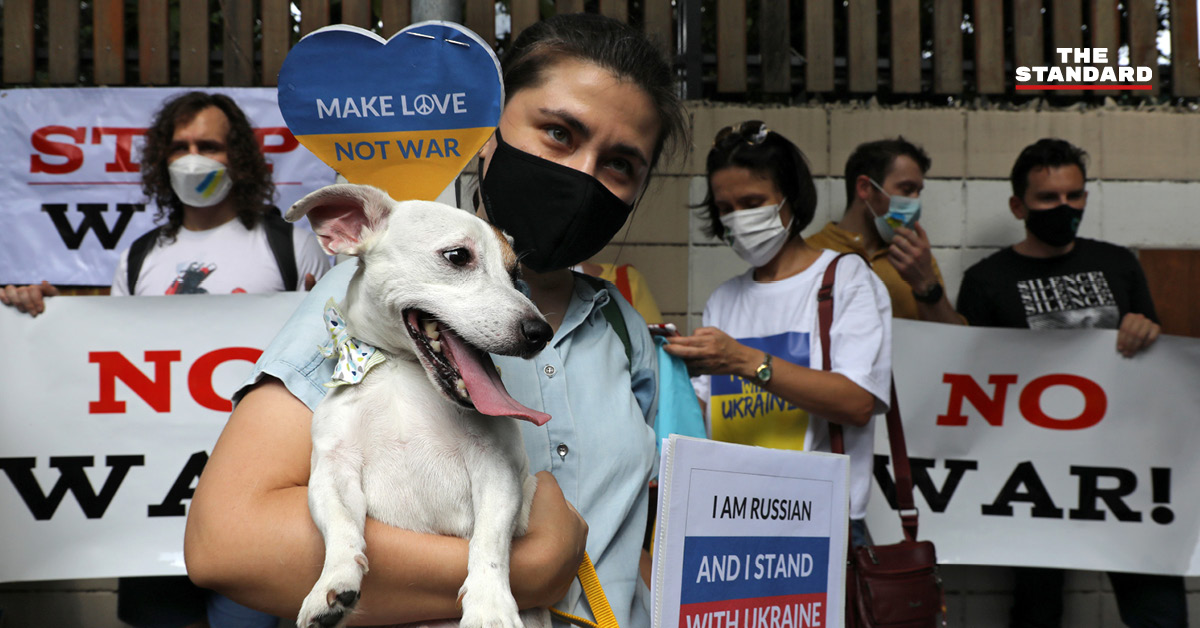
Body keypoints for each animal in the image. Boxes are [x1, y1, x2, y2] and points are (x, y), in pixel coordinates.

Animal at [288, 182, 554, 628]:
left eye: (515, 275)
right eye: (458, 256)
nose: (541, 332)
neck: (403, 370)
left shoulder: (498, 473)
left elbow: (489, 543)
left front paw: (489, 604)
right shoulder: (332, 474)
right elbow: (341, 528)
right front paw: (332, 583)